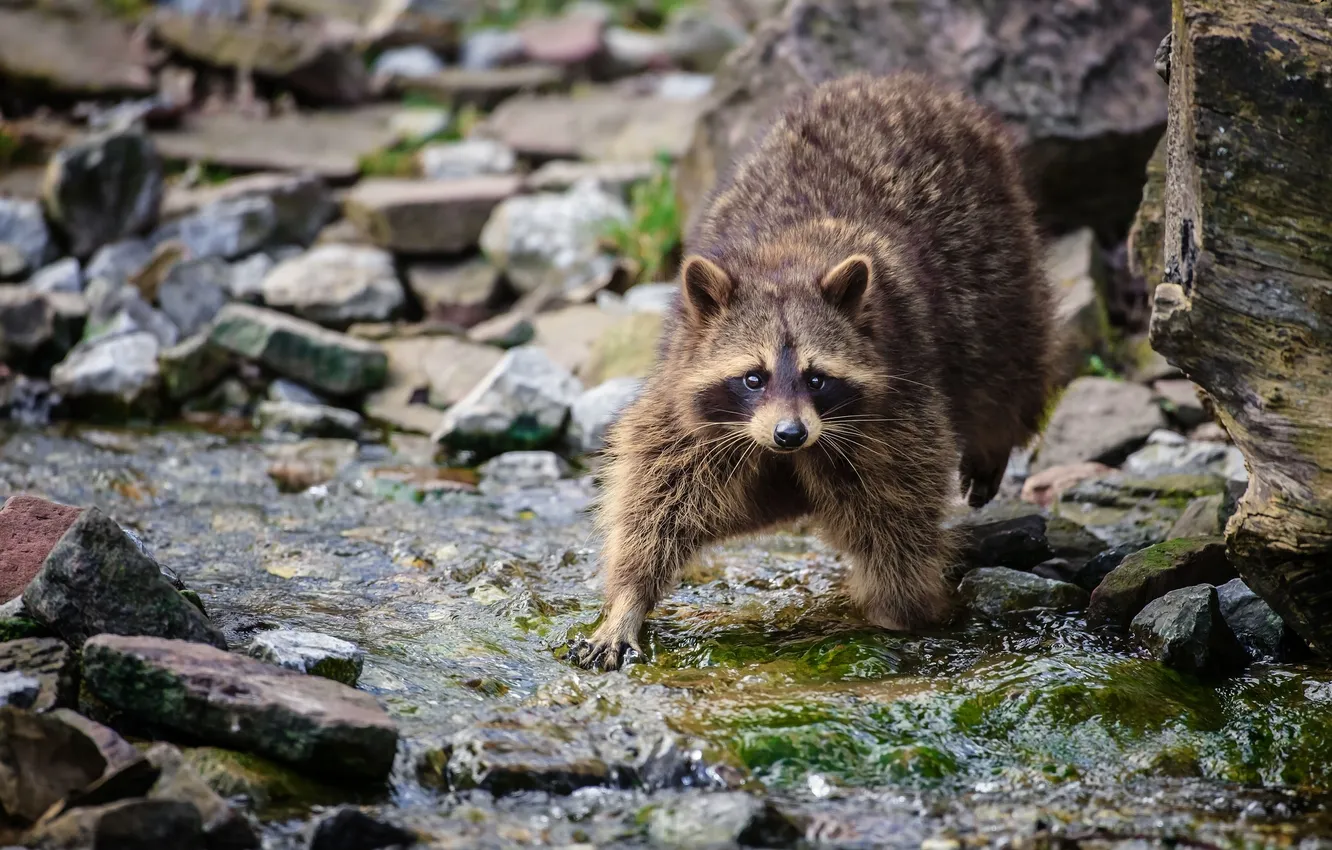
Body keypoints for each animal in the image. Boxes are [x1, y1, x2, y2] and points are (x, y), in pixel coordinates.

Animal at [569, 72, 1056, 671]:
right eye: (753, 378)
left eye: (817, 378)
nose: (790, 433)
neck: (786, 263)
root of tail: (895, 81)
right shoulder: (684, 402)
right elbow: (653, 497)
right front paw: (629, 598)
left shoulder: (898, 402)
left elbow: (898, 512)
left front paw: (903, 608)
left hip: (994, 257)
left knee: (1005, 358)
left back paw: (995, 437)